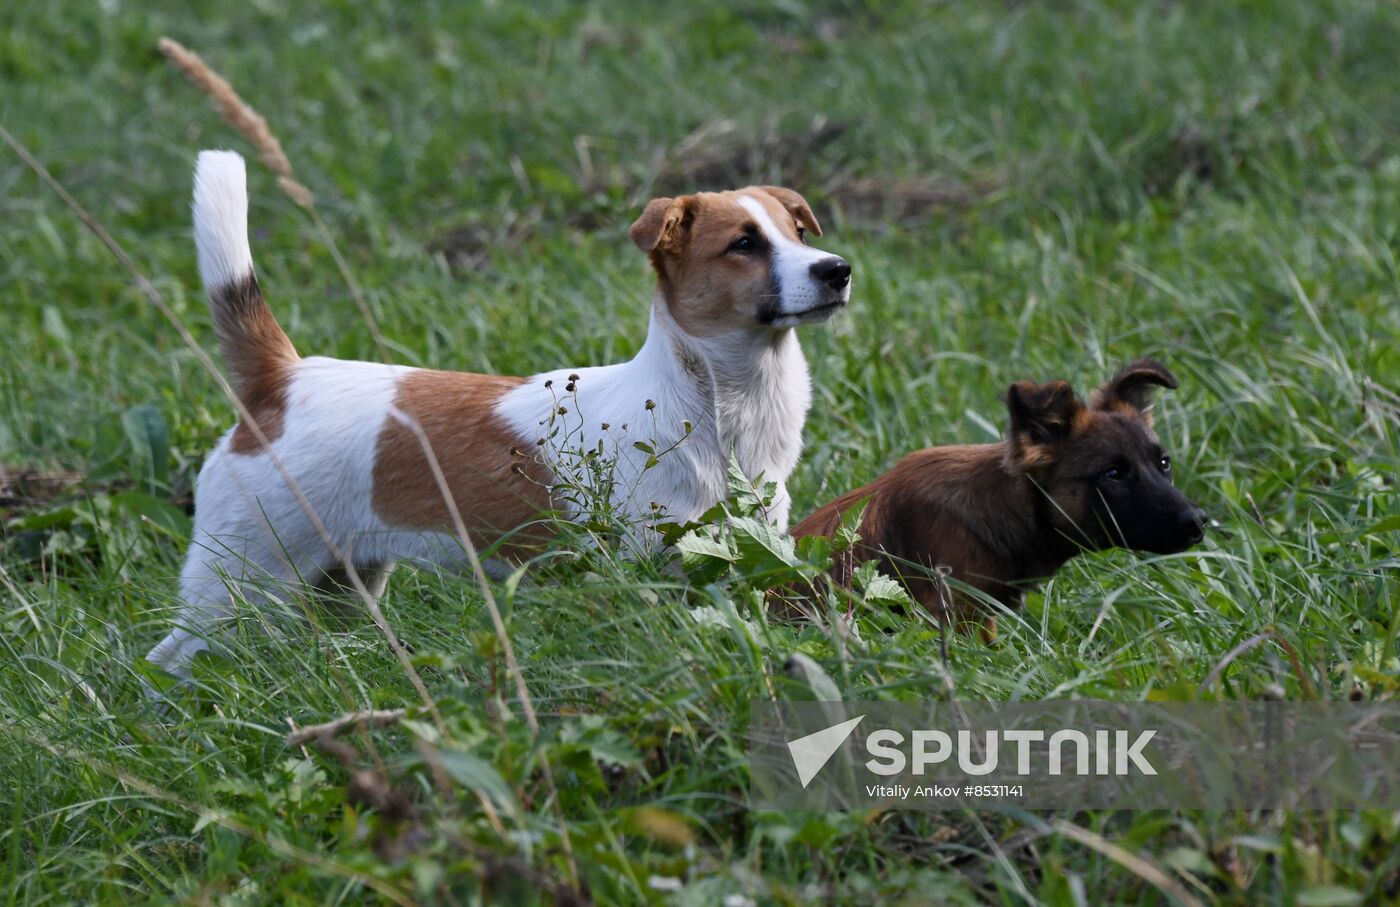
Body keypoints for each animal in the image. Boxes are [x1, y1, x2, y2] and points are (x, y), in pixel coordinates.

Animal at [147, 152, 845, 677]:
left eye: (797, 234)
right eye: (744, 244)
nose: (837, 269)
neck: (712, 406)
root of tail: (283, 380)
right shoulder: (648, 571)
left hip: (346, 582)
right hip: (238, 584)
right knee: (168, 659)